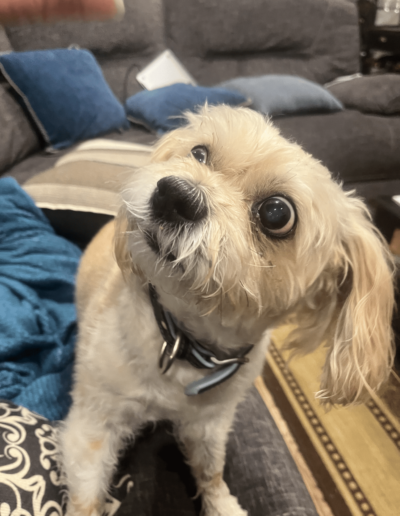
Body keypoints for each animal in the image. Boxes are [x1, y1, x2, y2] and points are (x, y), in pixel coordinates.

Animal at [60, 105, 395, 516]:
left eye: (277, 213)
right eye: (199, 153)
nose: (175, 195)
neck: (184, 340)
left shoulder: (210, 424)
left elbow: (211, 470)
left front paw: (222, 504)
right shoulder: (93, 424)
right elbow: (86, 495)